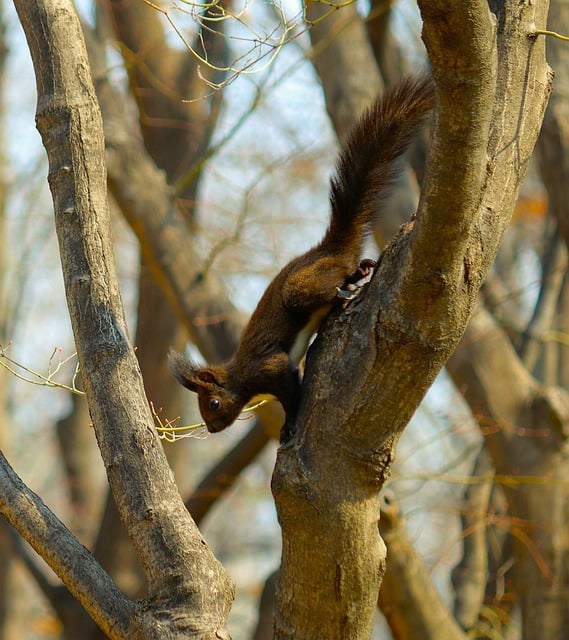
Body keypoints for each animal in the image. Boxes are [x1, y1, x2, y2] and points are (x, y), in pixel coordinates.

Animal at [170, 74, 435, 438]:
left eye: (213, 403)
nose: (212, 430)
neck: (241, 375)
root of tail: (328, 249)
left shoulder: (271, 367)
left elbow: (289, 392)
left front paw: (290, 424)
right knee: (350, 270)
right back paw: (360, 272)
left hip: (302, 288)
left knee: (325, 291)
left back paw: (343, 294)